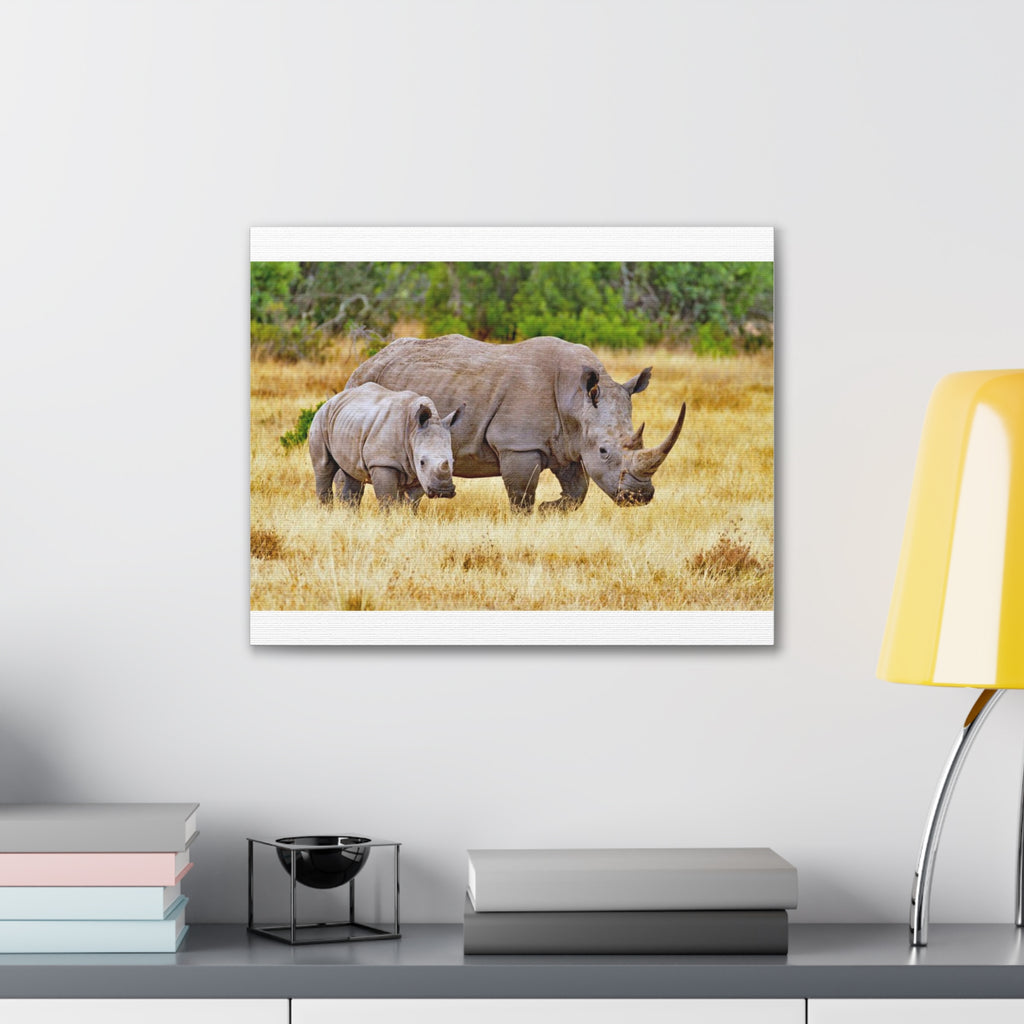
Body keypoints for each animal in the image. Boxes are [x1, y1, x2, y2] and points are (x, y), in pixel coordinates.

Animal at [308, 382, 463, 508]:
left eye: (452, 461)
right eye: (422, 462)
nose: (442, 492)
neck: (412, 430)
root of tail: (333, 399)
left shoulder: (419, 472)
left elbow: (412, 501)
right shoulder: (383, 462)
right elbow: (387, 499)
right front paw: (388, 519)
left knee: (353, 473)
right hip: (321, 418)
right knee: (324, 467)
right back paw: (326, 512)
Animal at [346, 335, 686, 512]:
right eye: (604, 451)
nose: (639, 497)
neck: (576, 400)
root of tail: (368, 360)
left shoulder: (566, 442)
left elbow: (578, 490)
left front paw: (550, 509)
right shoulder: (519, 445)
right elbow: (521, 494)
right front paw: (531, 517)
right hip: (363, 384)